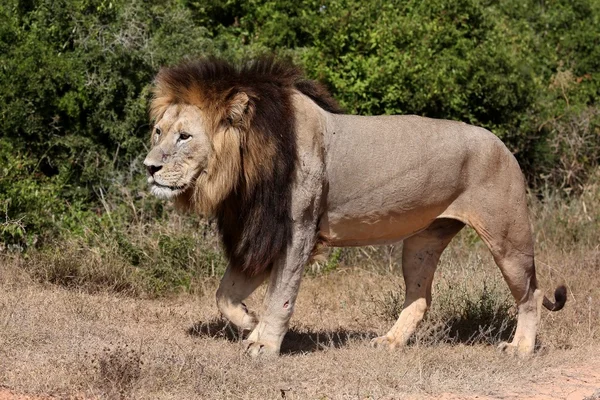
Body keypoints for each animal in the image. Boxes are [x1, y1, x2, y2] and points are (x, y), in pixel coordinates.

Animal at [145, 56, 568, 356]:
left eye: (184, 137)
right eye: (158, 131)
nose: (149, 167)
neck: (242, 172)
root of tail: (502, 144)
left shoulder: (297, 231)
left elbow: (281, 296)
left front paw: (264, 344)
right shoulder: (262, 234)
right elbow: (225, 294)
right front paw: (249, 322)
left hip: (508, 237)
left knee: (531, 294)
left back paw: (520, 349)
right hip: (423, 241)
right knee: (421, 298)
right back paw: (390, 342)